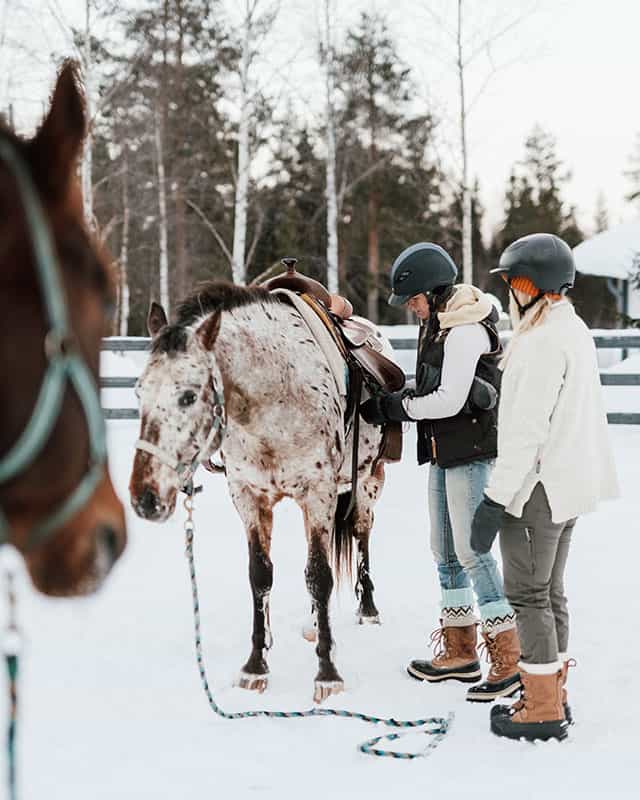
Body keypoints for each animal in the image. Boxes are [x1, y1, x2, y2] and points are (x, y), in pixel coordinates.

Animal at [131, 282, 390, 700]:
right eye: (139, 392)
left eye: (188, 396)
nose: (145, 498)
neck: (275, 395)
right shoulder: (248, 497)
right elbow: (261, 575)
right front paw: (256, 665)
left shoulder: (318, 494)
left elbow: (320, 575)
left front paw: (327, 673)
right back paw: (314, 624)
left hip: (367, 483)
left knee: (361, 536)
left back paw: (367, 609)